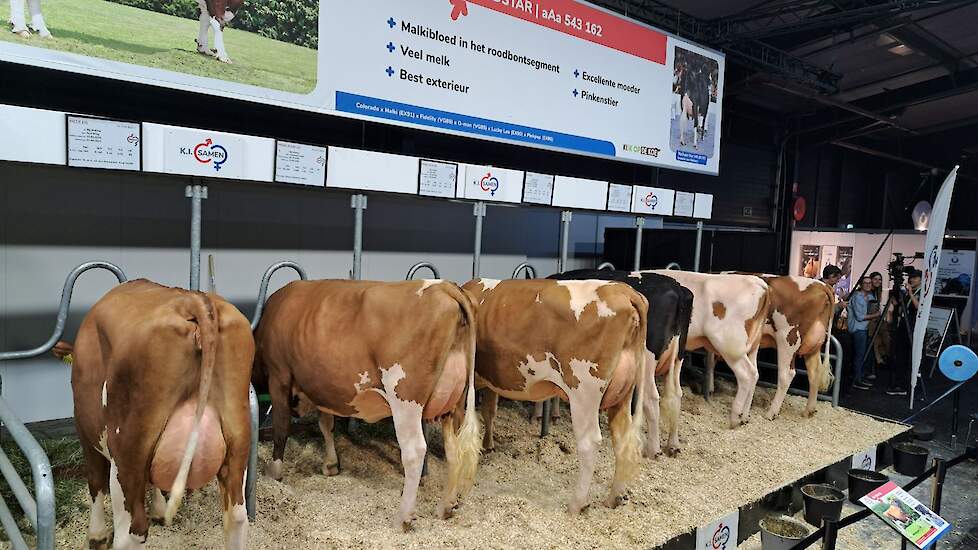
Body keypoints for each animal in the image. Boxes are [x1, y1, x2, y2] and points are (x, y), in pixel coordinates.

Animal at [53, 282, 254, 550]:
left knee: (131, 531)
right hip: (238, 442)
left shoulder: (85, 430)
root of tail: (193, 300)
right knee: (237, 517)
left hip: (126, 454)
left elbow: (95, 481)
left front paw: (96, 535)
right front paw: (159, 509)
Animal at [254, 282, 478, 532]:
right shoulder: (323, 387)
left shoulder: (279, 376)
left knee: (415, 451)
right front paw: (331, 464)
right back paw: (446, 507)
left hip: (405, 400)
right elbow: (326, 424)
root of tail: (444, 286)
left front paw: (274, 472)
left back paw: (403, 518)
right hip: (453, 404)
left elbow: (281, 428)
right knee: (454, 451)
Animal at [462, 280, 644, 516]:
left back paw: (577, 504)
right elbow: (489, 411)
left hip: (583, 391)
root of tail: (624, 291)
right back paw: (615, 497)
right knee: (622, 438)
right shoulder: (493, 380)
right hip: (623, 392)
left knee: (589, 442)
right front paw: (488, 444)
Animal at [548, 270, 692, 460]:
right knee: (676, 394)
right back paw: (673, 445)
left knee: (651, 397)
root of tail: (677, 289)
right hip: (677, 358)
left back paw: (653, 449)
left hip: (647, 358)